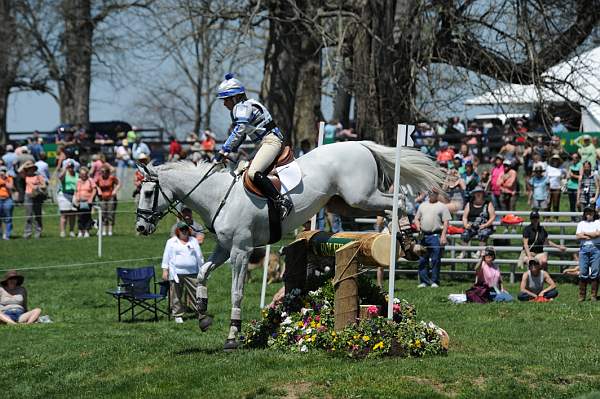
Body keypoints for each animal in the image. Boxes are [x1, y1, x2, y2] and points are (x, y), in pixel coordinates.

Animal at [138, 141, 442, 350]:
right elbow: (202, 274)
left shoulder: (240, 251)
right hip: (344, 202)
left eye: (149, 192)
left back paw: (405, 239)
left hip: (360, 195)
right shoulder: (224, 249)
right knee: (392, 204)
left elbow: (236, 293)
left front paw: (232, 336)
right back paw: (404, 241)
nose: (141, 228)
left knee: (398, 198)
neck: (218, 197)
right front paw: (202, 315)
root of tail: (360, 144)